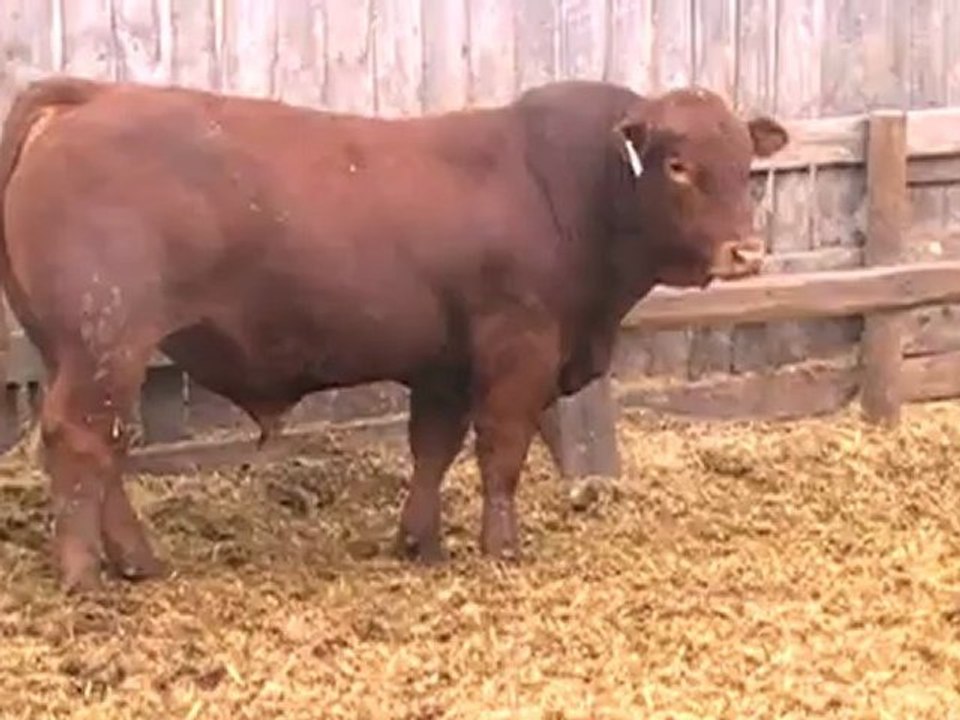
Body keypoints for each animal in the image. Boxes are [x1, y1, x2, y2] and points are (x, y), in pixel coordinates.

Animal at [0, 76, 787, 592]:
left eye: (746, 164)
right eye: (679, 166)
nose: (747, 252)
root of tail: (95, 96)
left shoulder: (442, 361)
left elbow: (433, 447)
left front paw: (421, 540)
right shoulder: (519, 346)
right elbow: (501, 448)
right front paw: (500, 546)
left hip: (81, 348)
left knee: (104, 446)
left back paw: (138, 561)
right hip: (107, 337)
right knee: (81, 439)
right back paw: (85, 577)